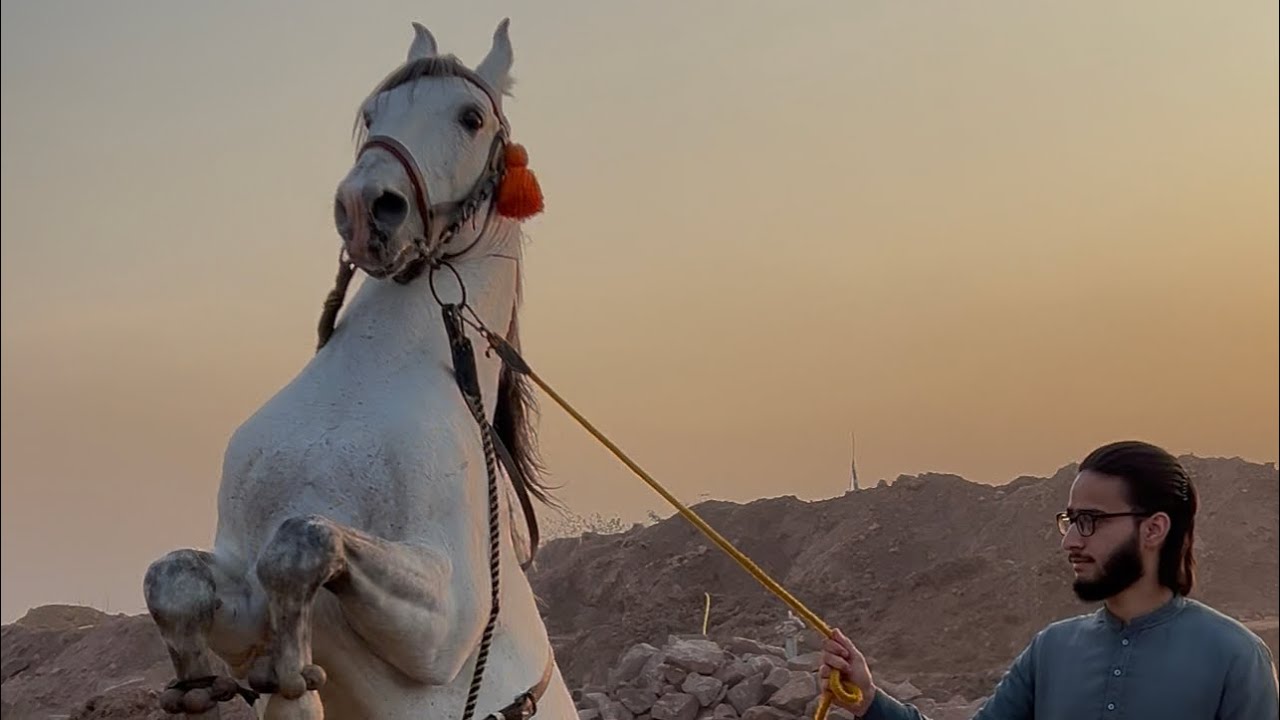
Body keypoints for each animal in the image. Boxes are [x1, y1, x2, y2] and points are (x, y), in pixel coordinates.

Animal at [142, 19, 574, 720]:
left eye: (471, 116)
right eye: (373, 112)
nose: (368, 207)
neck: (372, 381)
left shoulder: (445, 629)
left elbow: (304, 542)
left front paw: (292, 675)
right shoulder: (241, 589)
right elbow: (175, 577)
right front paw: (199, 684)